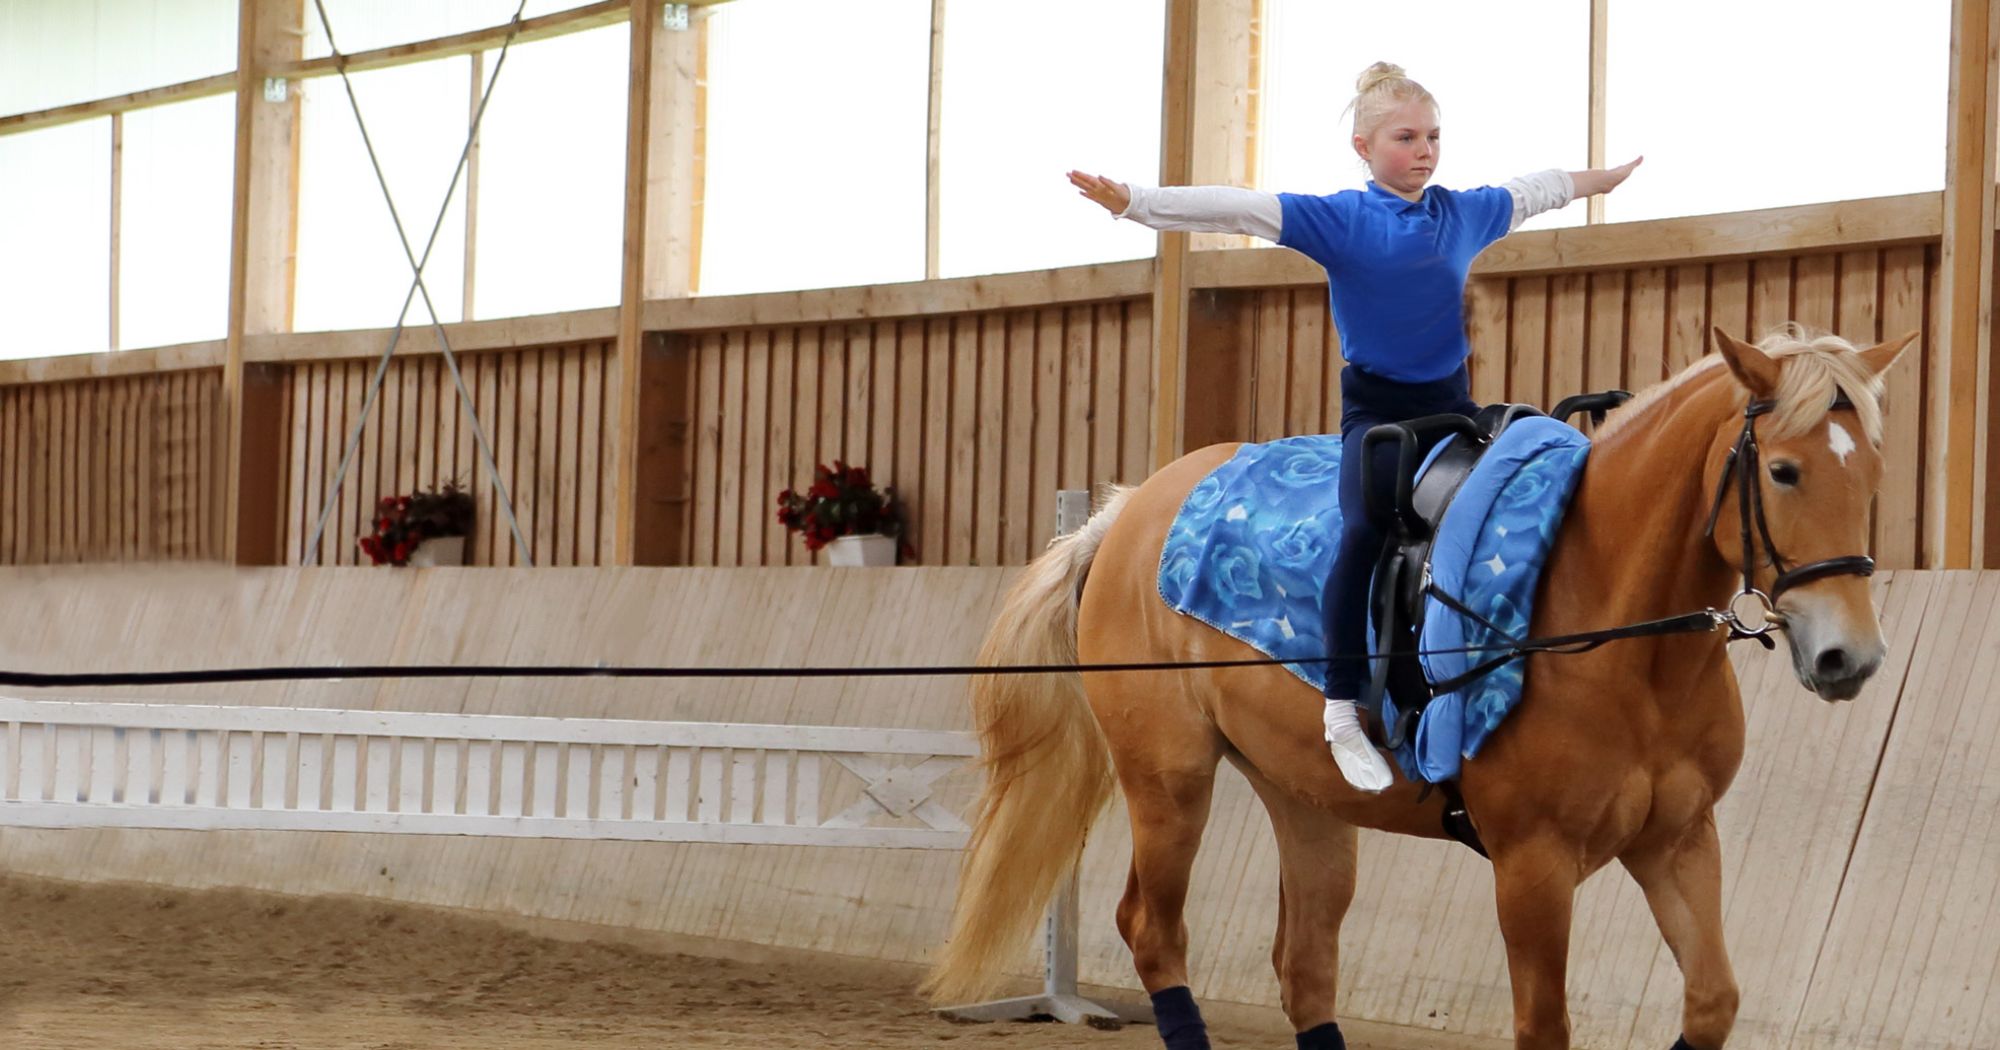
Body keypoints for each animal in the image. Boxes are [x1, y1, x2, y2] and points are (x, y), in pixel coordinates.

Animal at [928, 330, 1912, 1048]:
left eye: (1873, 469)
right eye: (1782, 471)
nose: (1848, 658)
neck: (1617, 633)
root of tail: (1127, 512)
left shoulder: (1677, 841)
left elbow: (1712, 1001)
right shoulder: (1532, 867)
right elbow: (1544, 1026)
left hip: (1304, 802)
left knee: (1305, 964)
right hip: (1169, 781)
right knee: (1154, 932)